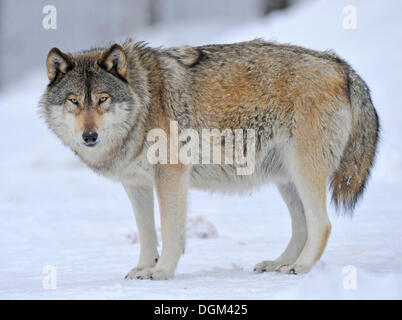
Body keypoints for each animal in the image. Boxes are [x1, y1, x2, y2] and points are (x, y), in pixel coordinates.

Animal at [39, 39, 378, 280]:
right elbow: (147, 233)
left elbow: (170, 231)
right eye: (73, 101)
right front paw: (144, 268)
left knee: (322, 224)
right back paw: (278, 263)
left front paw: (161, 272)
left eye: (102, 99)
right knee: (302, 226)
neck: (143, 102)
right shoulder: (136, 185)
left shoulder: (171, 176)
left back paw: (301, 267)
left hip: (303, 172)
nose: (89, 136)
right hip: (286, 179)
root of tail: (340, 65)